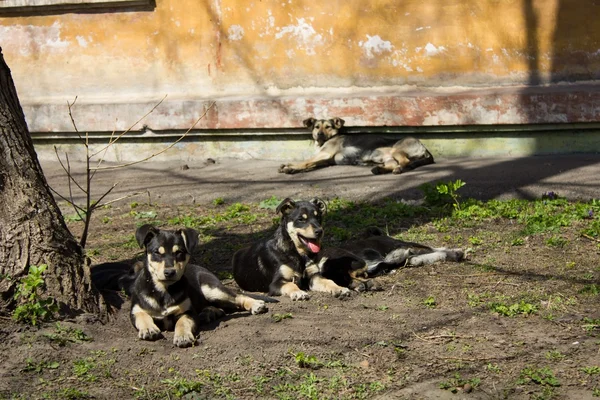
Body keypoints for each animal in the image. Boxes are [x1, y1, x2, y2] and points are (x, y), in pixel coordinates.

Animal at [95, 225, 274, 346]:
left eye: (179, 253)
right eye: (156, 252)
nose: (169, 272)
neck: (164, 290)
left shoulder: (187, 312)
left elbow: (182, 322)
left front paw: (182, 336)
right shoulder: (135, 310)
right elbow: (143, 317)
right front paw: (149, 330)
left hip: (211, 289)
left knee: (237, 297)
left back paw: (255, 304)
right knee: (221, 308)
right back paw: (208, 313)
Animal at [232, 198, 466, 298]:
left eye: (318, 217)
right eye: (301, 219)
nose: (319, 231)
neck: (297, 254)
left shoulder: (315, 277)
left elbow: (329, 282)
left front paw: (339, 289)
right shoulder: (276, 283)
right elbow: (291, 285)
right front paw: (298, 293)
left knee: (430, 251)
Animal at [278, 118, 434, 176]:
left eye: (328, 127)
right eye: (317, 127)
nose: (319, 134)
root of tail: (423, 146)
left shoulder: (324, 155)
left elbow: (305, 162)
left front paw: (291, 167)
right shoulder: (324, 160)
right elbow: (309, 163)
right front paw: (289, 166)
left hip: (396, 149)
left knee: (404, 162)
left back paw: (397, 169)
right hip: (387, 157)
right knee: (392, 164)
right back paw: (379, 169)